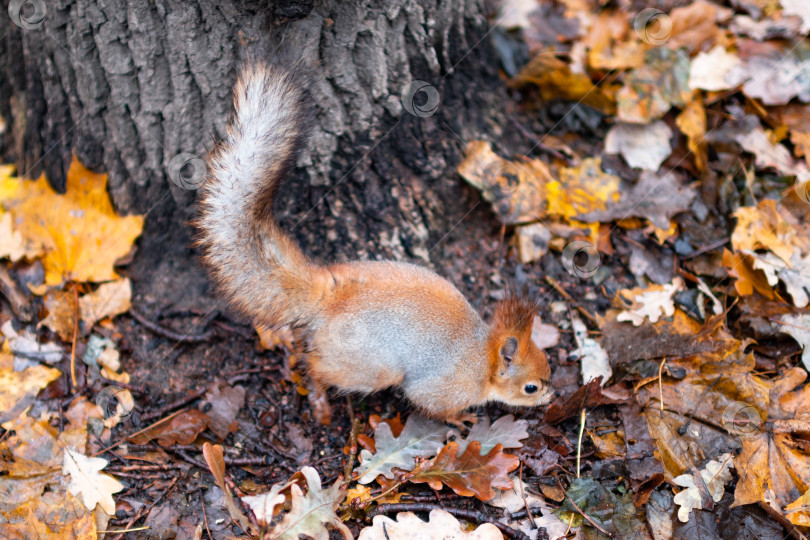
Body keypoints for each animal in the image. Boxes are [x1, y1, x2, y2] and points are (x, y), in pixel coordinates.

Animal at [196, 63, 552, 424]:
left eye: (547, 363)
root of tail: (332, 299)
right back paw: (320, 400)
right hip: (371, 369)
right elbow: (433, 405)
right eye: (531, 388)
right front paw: (460, 419)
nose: (552, 395)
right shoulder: (445, 387)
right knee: (317, 366)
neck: (484, 360)